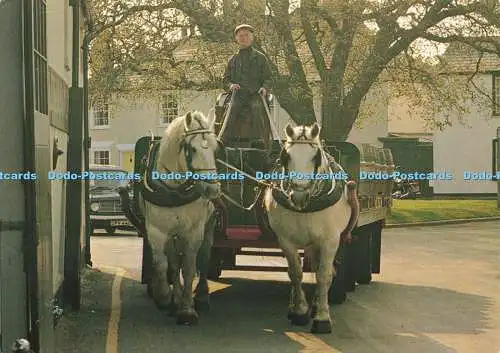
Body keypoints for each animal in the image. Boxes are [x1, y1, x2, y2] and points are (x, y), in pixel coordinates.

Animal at [138, 110, 222, 324]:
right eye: (192, 149)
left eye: (215, 148)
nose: (212, 189)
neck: (174, 190)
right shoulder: (157, 231)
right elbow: (163, 264)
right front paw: (165, 298)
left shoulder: (193, 231)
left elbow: (190, 267)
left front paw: (187, 309)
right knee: (174, 263)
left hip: (209, 226)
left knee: (204, 259)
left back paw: (201, 297)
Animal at [264, 121, 358, 332]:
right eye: (286, 156)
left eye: (315, 157)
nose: (298, 196)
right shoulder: (286, 240)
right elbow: (295, 273)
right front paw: (300, 311)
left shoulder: (330, 241)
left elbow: (323, 275)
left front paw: (322, 317)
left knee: (321, 270)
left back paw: (316, 304)